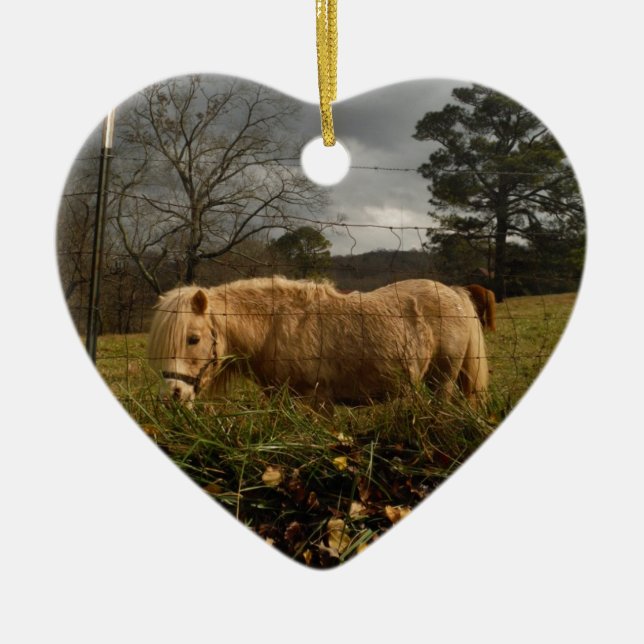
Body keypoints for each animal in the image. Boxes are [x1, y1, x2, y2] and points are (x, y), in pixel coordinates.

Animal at [147, 276, 489, 409]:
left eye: (193, 339)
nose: (172, 396)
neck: (274, 326)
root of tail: (455, 293)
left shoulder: (318, 401)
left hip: (442, 380)